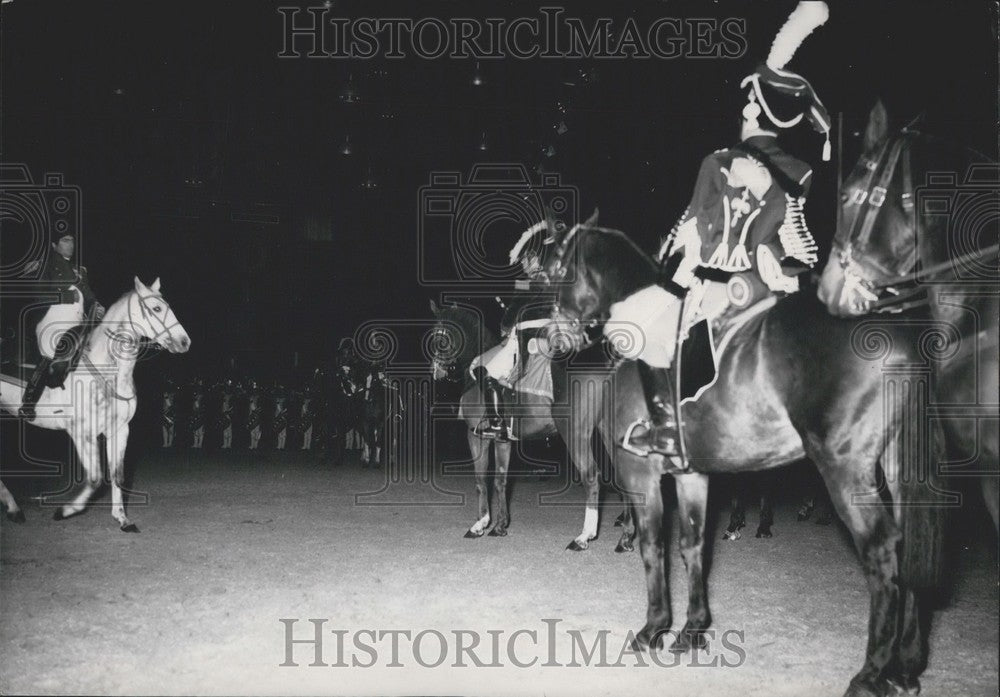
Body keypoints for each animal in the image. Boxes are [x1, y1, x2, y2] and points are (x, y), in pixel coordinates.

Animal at [0, 274, 191, 532]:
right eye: (157, 308)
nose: (184, 342)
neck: (107, 369)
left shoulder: (119, 430)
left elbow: (117, 474)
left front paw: (122, 518)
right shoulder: (82, 433)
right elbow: (95, 479)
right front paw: (65, 510)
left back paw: (13, 508)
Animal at [548, 215, 952, 692]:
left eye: (558, 272)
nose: (553, 341)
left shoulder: (639, 474)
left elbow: (653, 545)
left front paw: (653, 629)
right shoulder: (691, 475)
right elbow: (691, 546)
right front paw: (691, 630)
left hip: (845, 469)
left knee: (882, 552)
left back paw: (870, 673)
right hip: (895, 467)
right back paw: (905, 668)